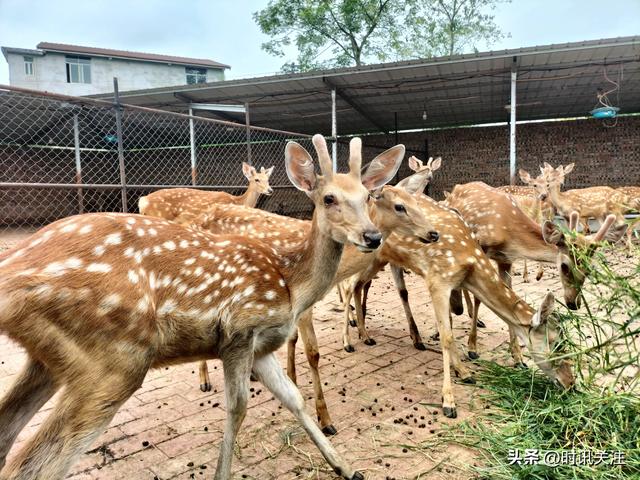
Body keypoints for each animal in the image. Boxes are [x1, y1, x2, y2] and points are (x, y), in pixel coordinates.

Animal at [139, 161, 274, 221]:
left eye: (268, 179)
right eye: (257, 179)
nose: (270, 190)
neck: (237, 201)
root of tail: (143, 201)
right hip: (159, 215)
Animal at [190, 154, 440, 436]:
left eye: (416, 201)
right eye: (399, 206)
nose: (433, 233)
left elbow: (293, 339)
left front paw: (291, 378)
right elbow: (313, 353)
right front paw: (325, 419)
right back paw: (204, 381)